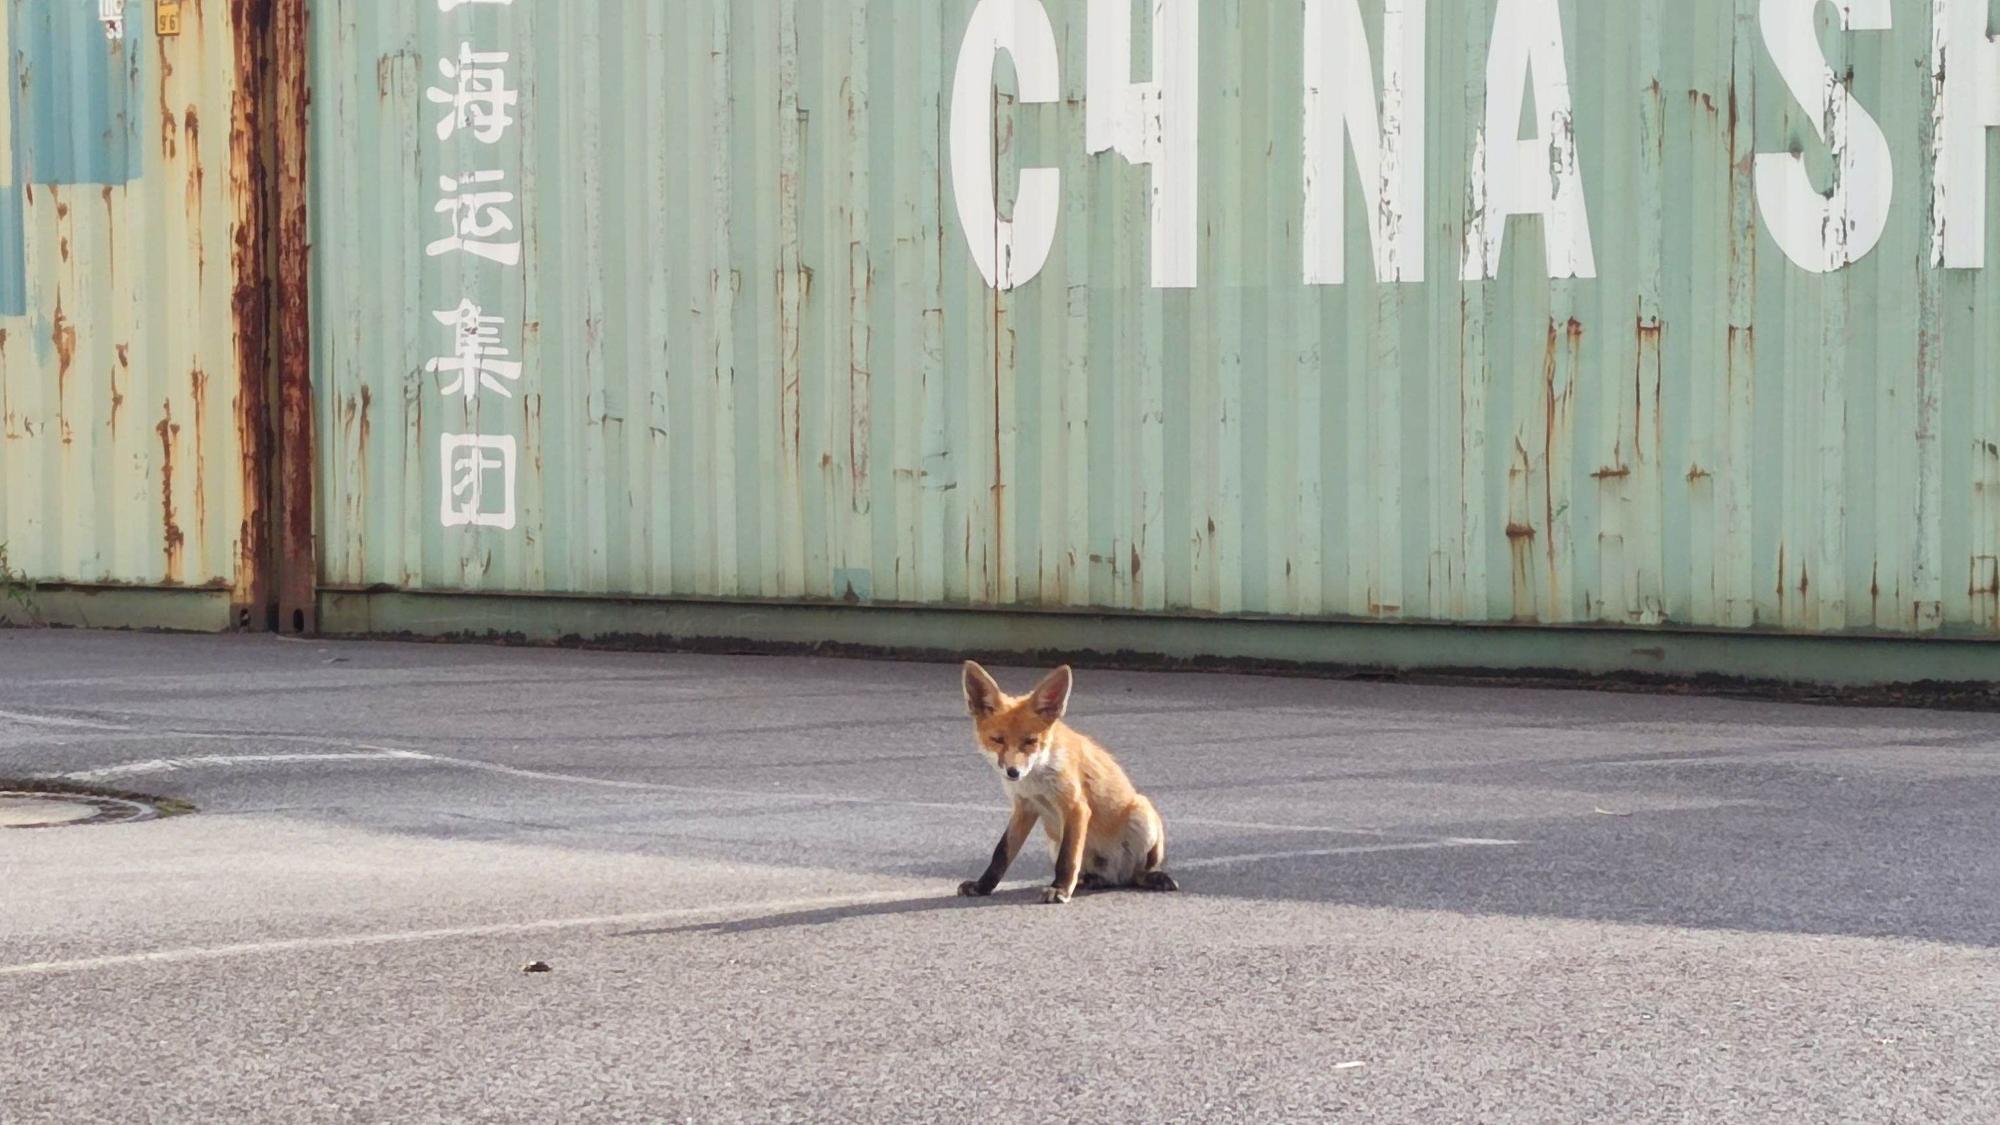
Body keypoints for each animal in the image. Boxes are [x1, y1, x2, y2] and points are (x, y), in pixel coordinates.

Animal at [955, 661, 1179, 904]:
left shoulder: (1075, 807)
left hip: (1142, 815)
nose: (1013, 772)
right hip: (1054, 841)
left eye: (1030, 741)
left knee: (1138, 873)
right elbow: (1002, 853)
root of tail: (1117, 876)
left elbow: (1069, 857)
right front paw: (983, 885)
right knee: (1101, 877)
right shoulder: (1024, 807)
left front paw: (1060, 889)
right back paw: (1092, 880)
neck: (1036, 781)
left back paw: (1154, 877)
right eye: (997, 740)